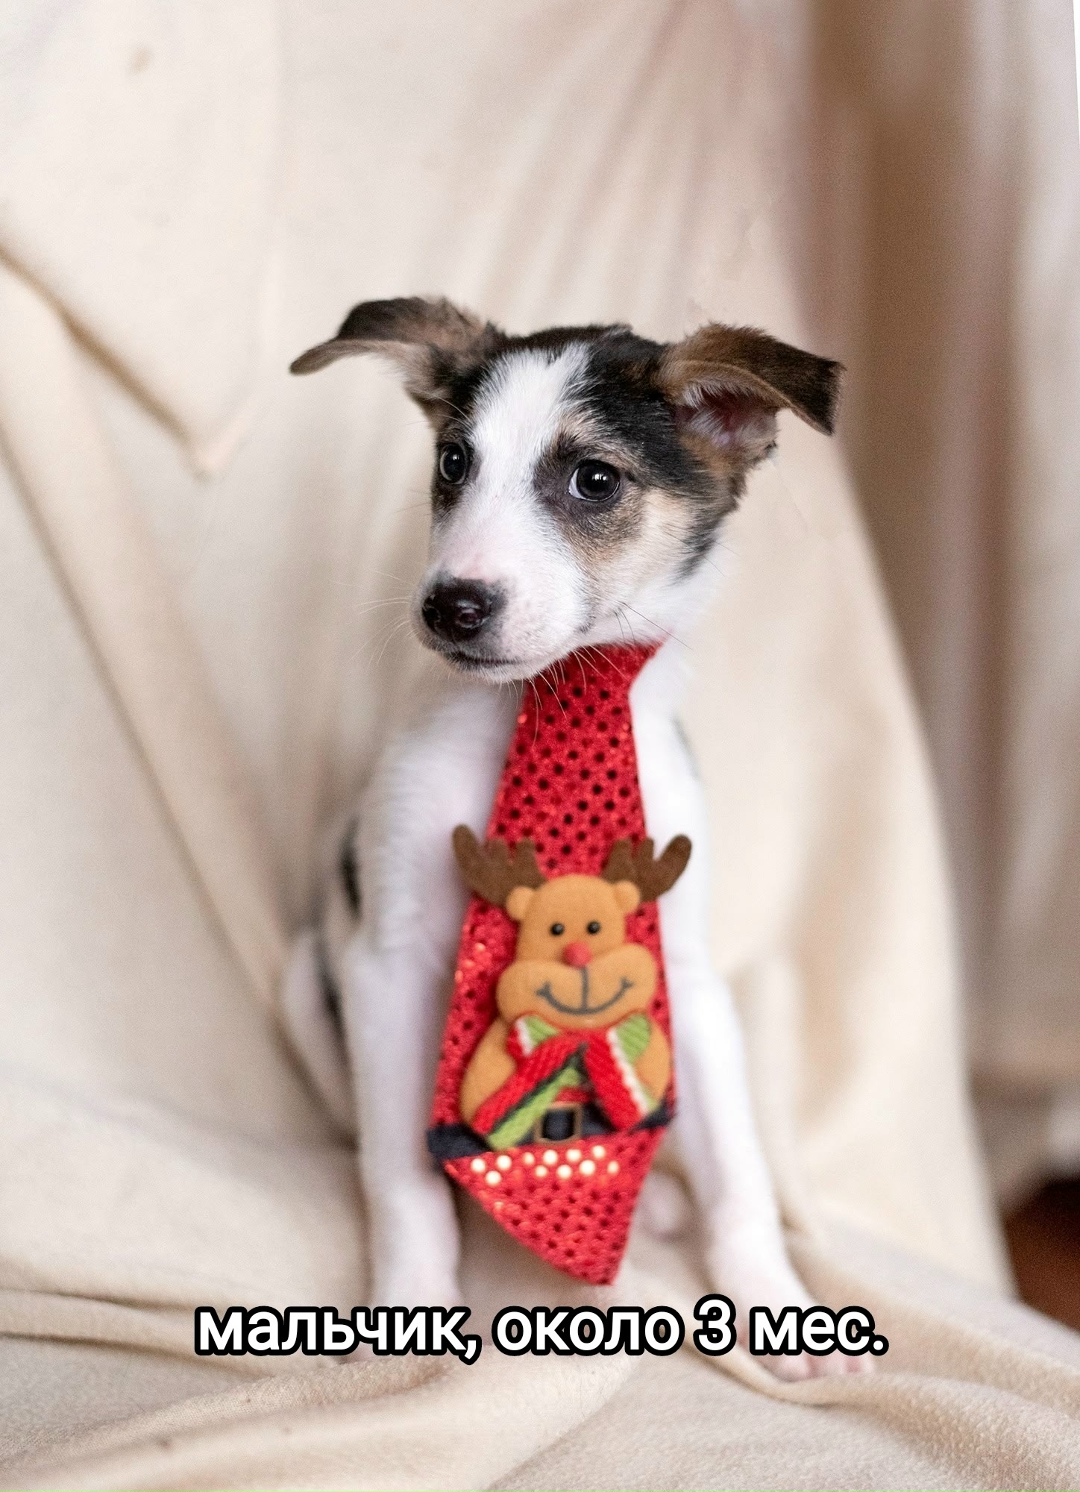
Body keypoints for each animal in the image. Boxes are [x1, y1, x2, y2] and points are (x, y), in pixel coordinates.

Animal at [282, 297, 866, 1380]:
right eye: (453, 463)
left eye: (594, 479)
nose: (450, 605)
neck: (551, 708)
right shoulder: (387, 965)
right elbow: (403, 1175)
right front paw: (409, 1313)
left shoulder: (688, 974)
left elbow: (742, 1175)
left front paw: (774, 1300)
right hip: (307, 977)